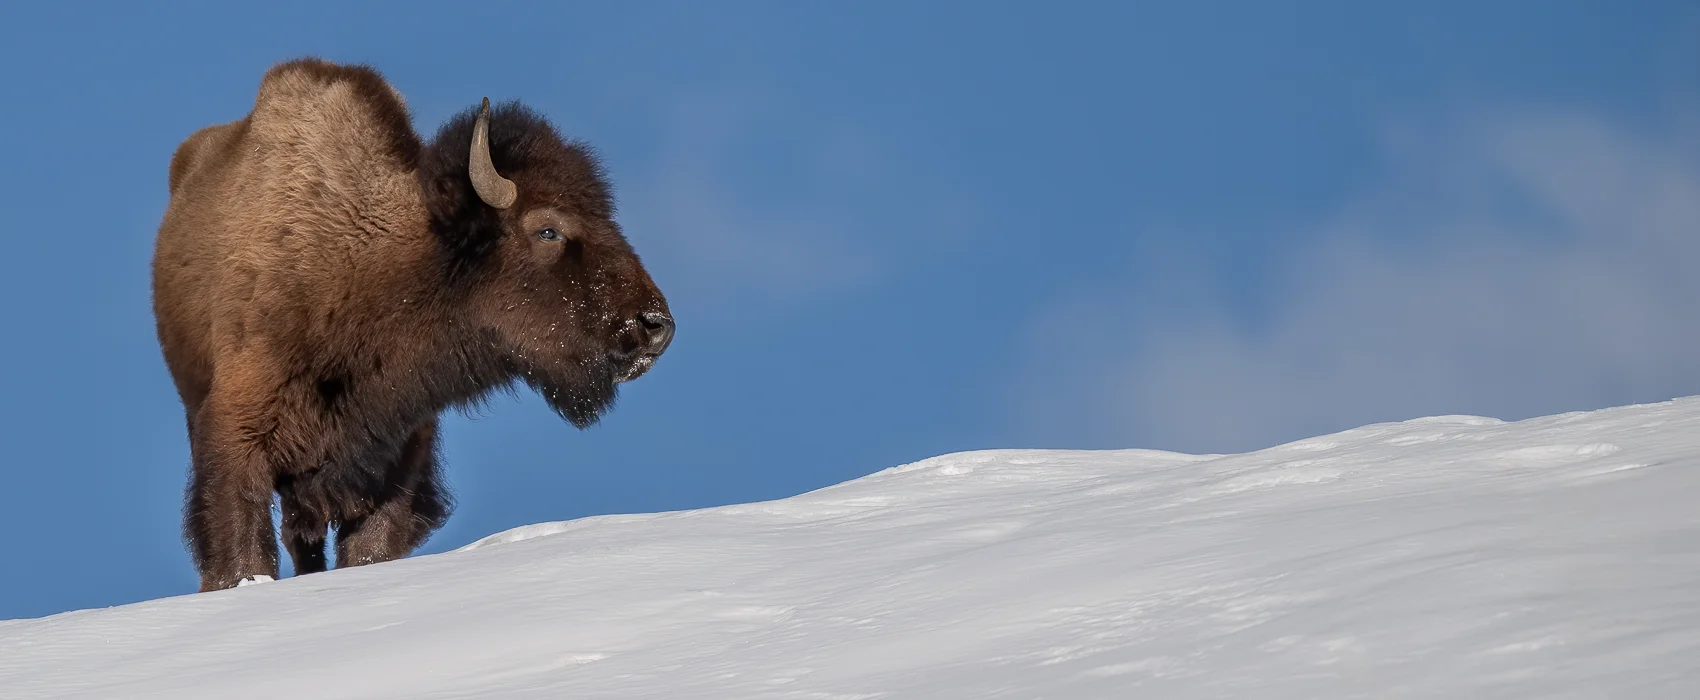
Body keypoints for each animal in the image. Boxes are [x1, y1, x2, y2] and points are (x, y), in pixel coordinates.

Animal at [151, 58, 669, 591]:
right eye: (548, 229)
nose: (654, 324)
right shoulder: (237, 437)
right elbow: (242, 551)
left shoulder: (397, 461)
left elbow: (370, 547)